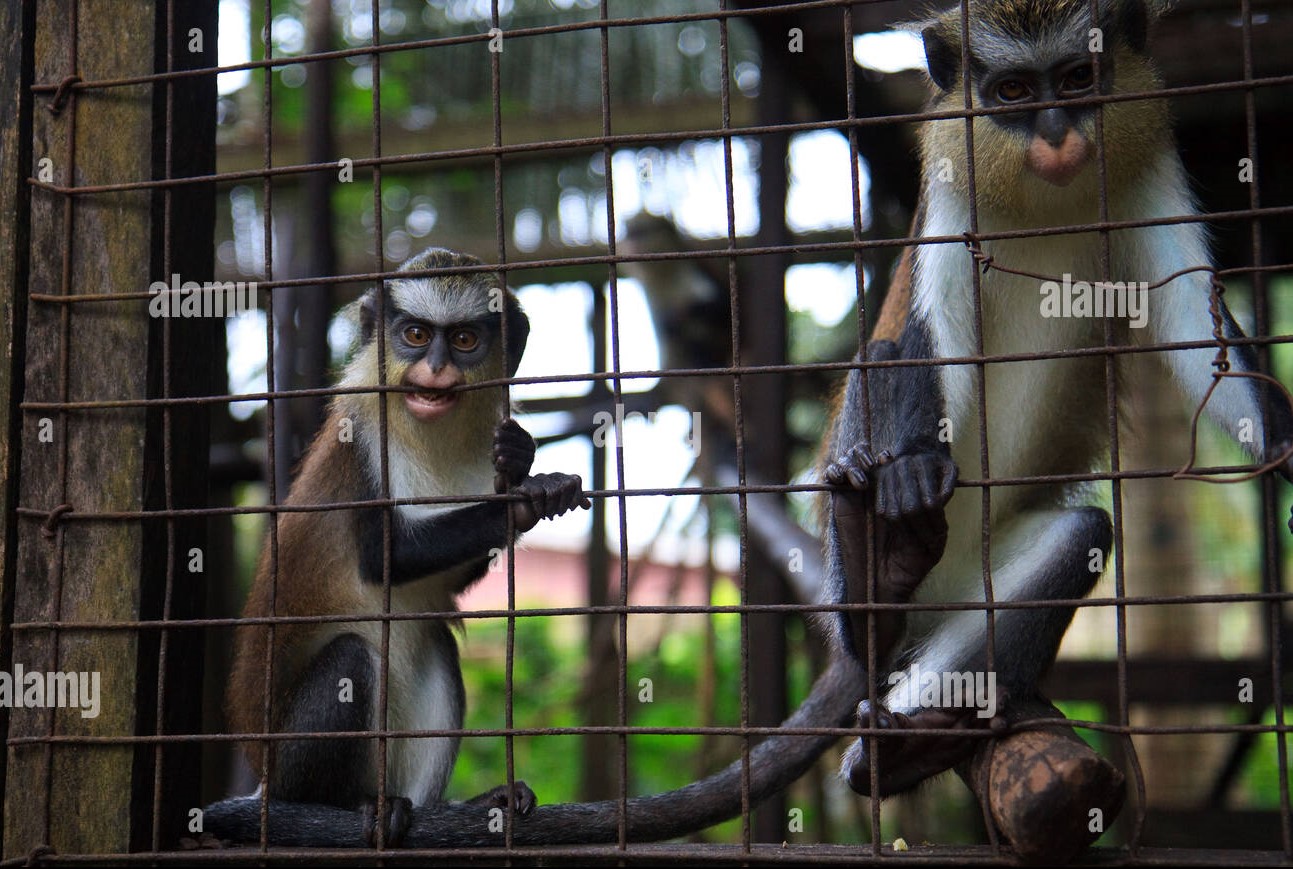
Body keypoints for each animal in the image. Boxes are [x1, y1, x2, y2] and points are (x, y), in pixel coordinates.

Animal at [822, 0, 1287, 801]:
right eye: (1011, 92)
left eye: (1075, 79)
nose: (1055, 134)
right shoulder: (953, 179)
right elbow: (935, 332)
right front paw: (911, 466)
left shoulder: (1145, 172)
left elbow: (1196, 330)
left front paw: (1290, 443)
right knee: (878, 358)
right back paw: (875, 574)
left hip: (969, 577)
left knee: (1079, 535)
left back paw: (906, 745)